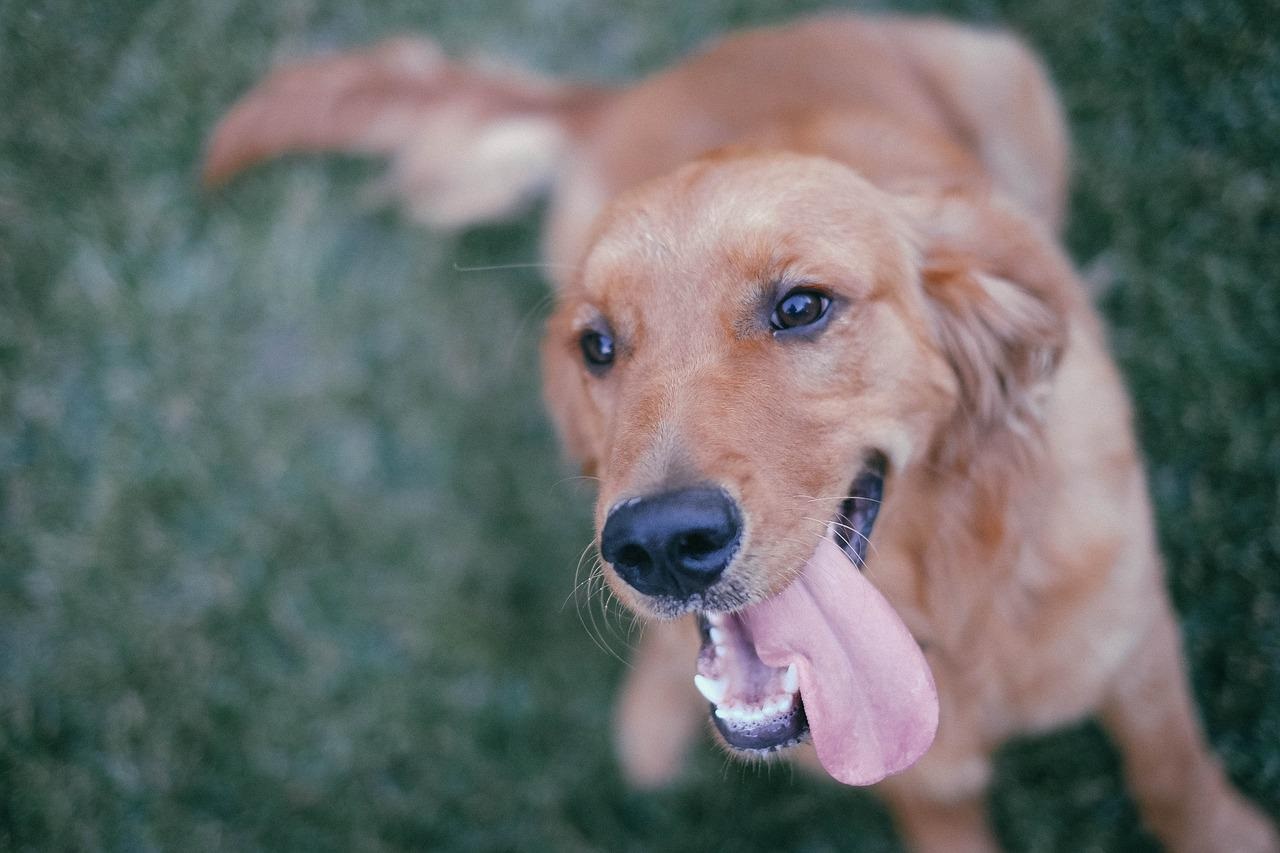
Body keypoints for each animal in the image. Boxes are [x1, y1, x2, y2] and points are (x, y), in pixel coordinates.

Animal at [204, 13, 1274, 850]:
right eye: (597, 344)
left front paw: (1229, 834)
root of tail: (636, 86)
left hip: (1007, 78)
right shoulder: (917, 778)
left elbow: (1174, 778)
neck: (945, 606)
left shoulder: (1139, 648)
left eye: (802, 306)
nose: (659, 545)